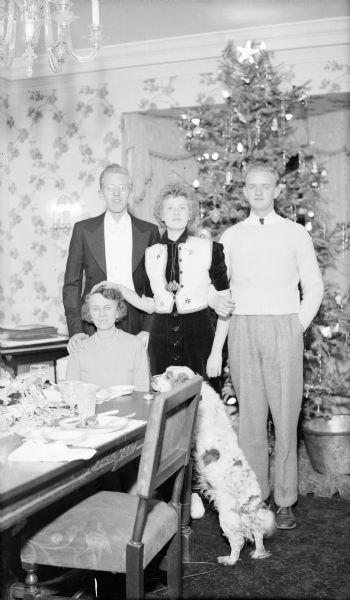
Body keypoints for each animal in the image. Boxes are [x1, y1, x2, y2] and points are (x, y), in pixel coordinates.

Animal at [153, 366, 276, 568]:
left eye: (168, 376)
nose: (152, 378)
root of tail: (252, 497)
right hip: (247, 518)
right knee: (257, 533)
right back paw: (258, 553)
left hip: (227, 517)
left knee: (238, 541)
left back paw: (229, 559)